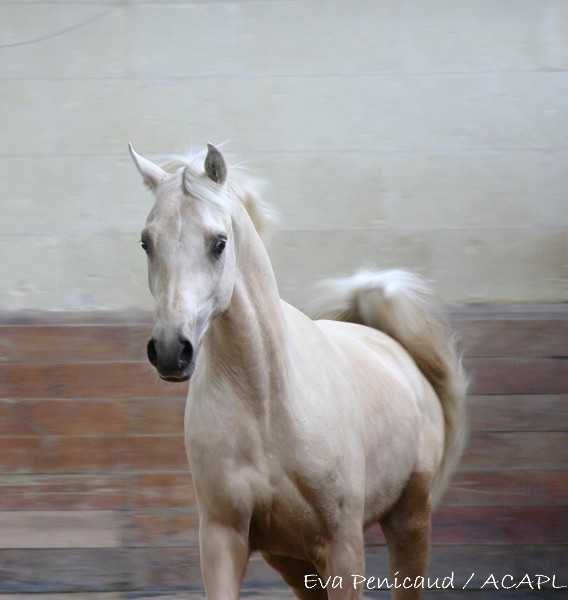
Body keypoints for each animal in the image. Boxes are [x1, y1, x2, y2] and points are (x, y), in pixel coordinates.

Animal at [131, 144, 468, 600]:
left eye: (219, 243)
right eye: (146, 242)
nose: (170, 350)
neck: (266, 402)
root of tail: (393, 349)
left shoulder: (343, 547)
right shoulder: (223, 538)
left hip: (409, 521)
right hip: (293, 561)